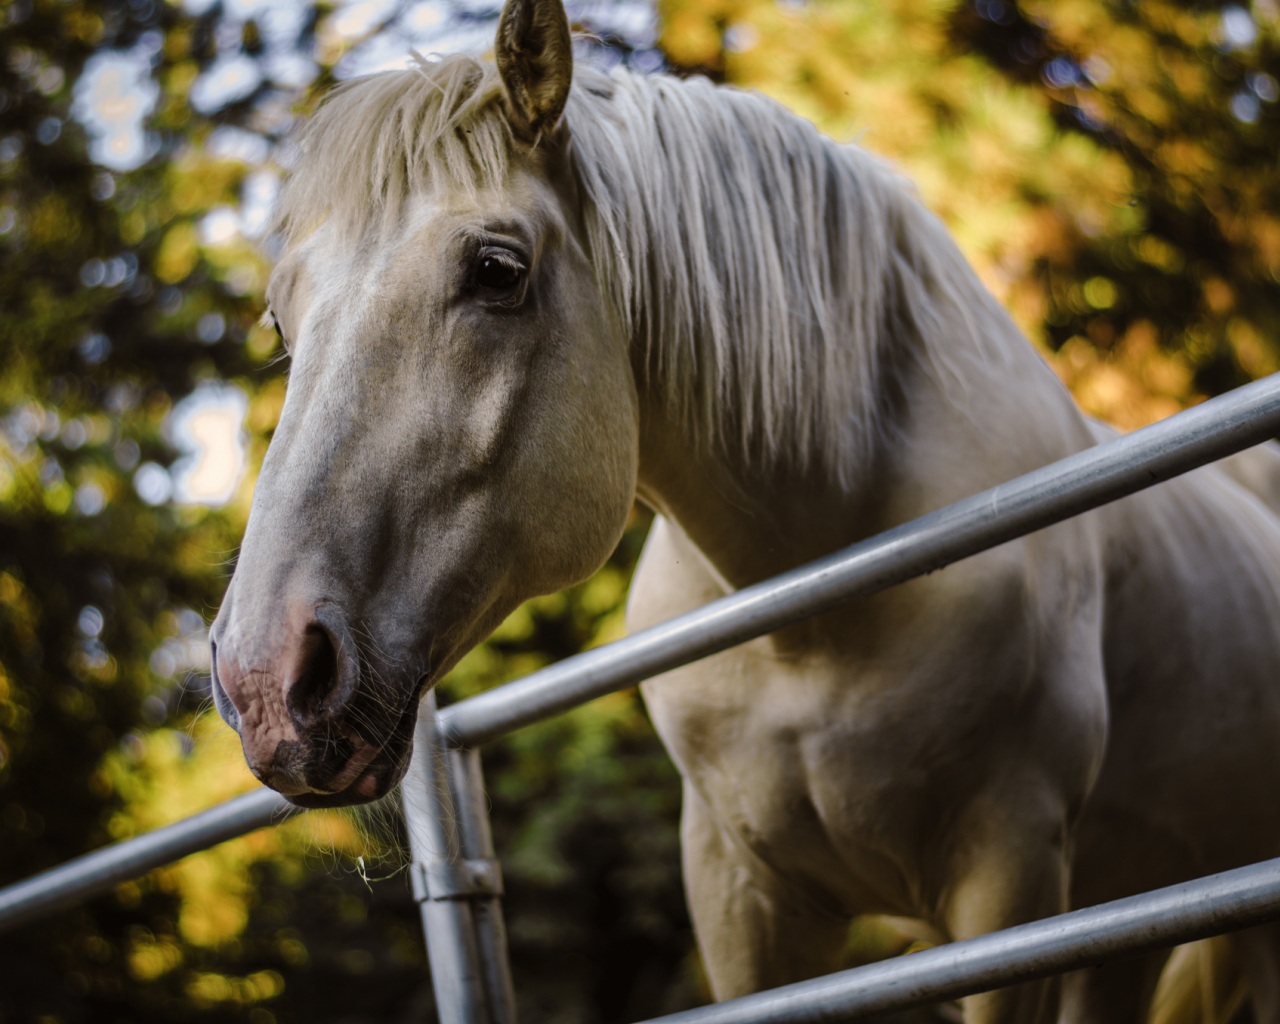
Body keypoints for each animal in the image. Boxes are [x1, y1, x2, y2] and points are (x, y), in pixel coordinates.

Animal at [209, 4, 1280, 1018]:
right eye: (279, 318)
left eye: (497, 270)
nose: (266, 682)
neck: (817, 608)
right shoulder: (737, 894)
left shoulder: (1010, 882)